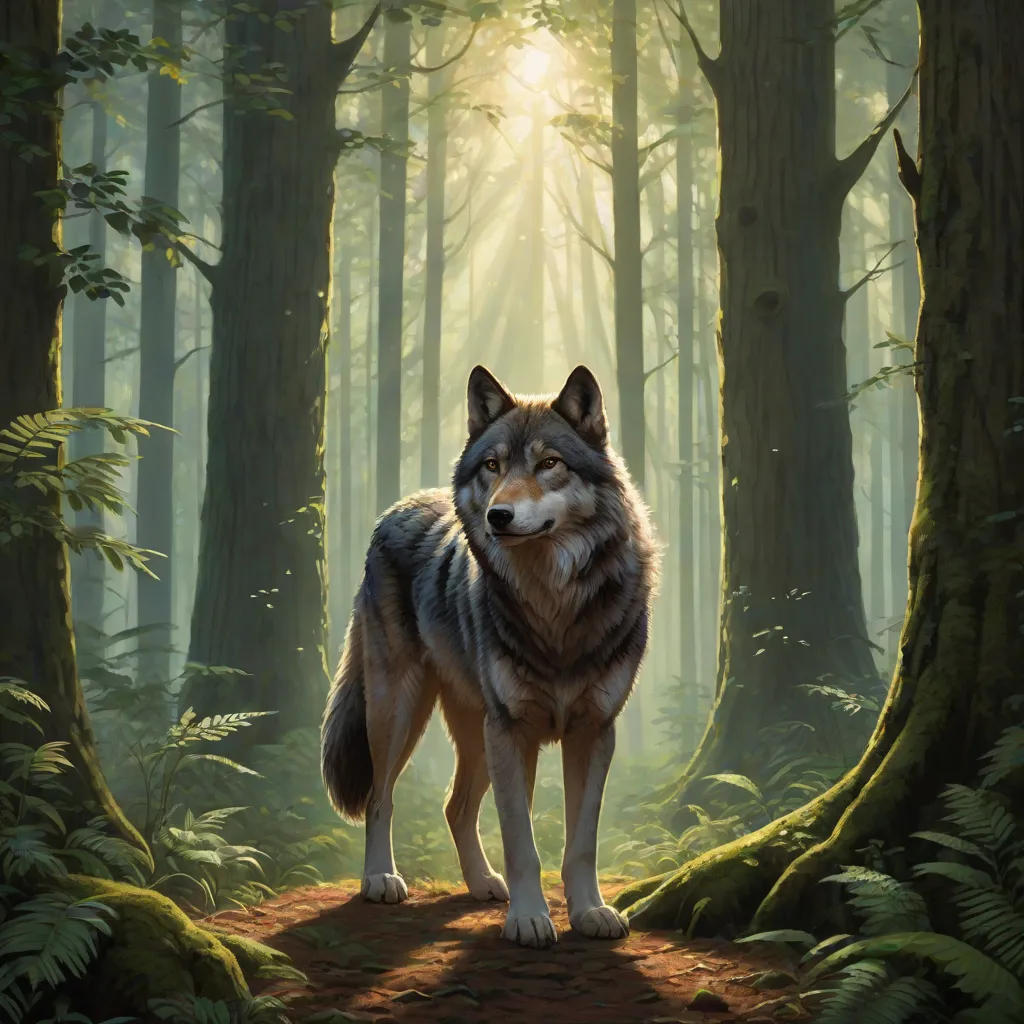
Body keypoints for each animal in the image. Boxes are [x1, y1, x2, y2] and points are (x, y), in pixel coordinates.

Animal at [321, 364, 658, 948]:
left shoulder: (594, 729)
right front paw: (528, 919)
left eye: (550, 463)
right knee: (381, 798)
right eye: (493, 466)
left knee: (455, 807)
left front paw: (590, 911)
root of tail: (396, 507)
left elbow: (582, 842)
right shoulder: (512, 730)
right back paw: (381, 879)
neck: (552, 606)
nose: (500, 515)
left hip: (475, 734)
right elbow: (521, 840)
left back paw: (481, 884)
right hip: (401, 712)